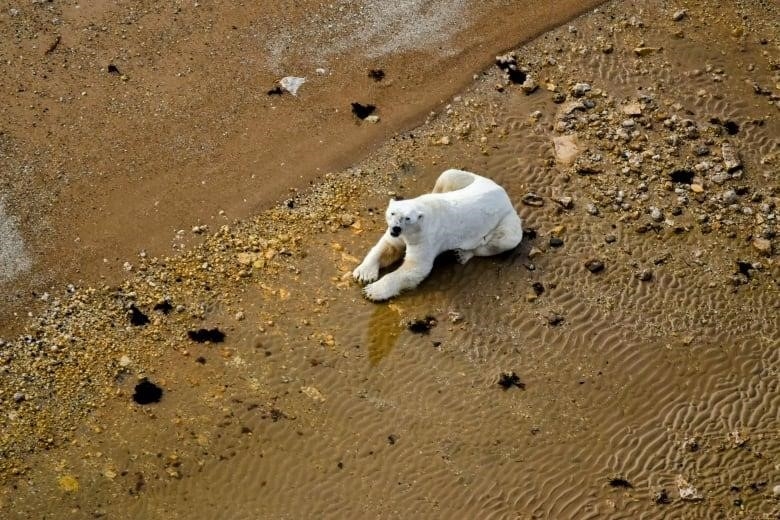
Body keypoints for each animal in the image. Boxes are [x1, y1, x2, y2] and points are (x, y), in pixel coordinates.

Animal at [354, 169, 524, 302]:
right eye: (392, 213)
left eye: (407, 218)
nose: (396, 229)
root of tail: (504, 195)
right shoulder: (400, 235)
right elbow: (388, 247)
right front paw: (364, 274)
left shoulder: (426, 238)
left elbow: (416, 268)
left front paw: (372, 291)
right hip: (474, 181)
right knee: (448, 175)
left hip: (506, 219)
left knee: (504, 239)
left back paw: (462, 254)